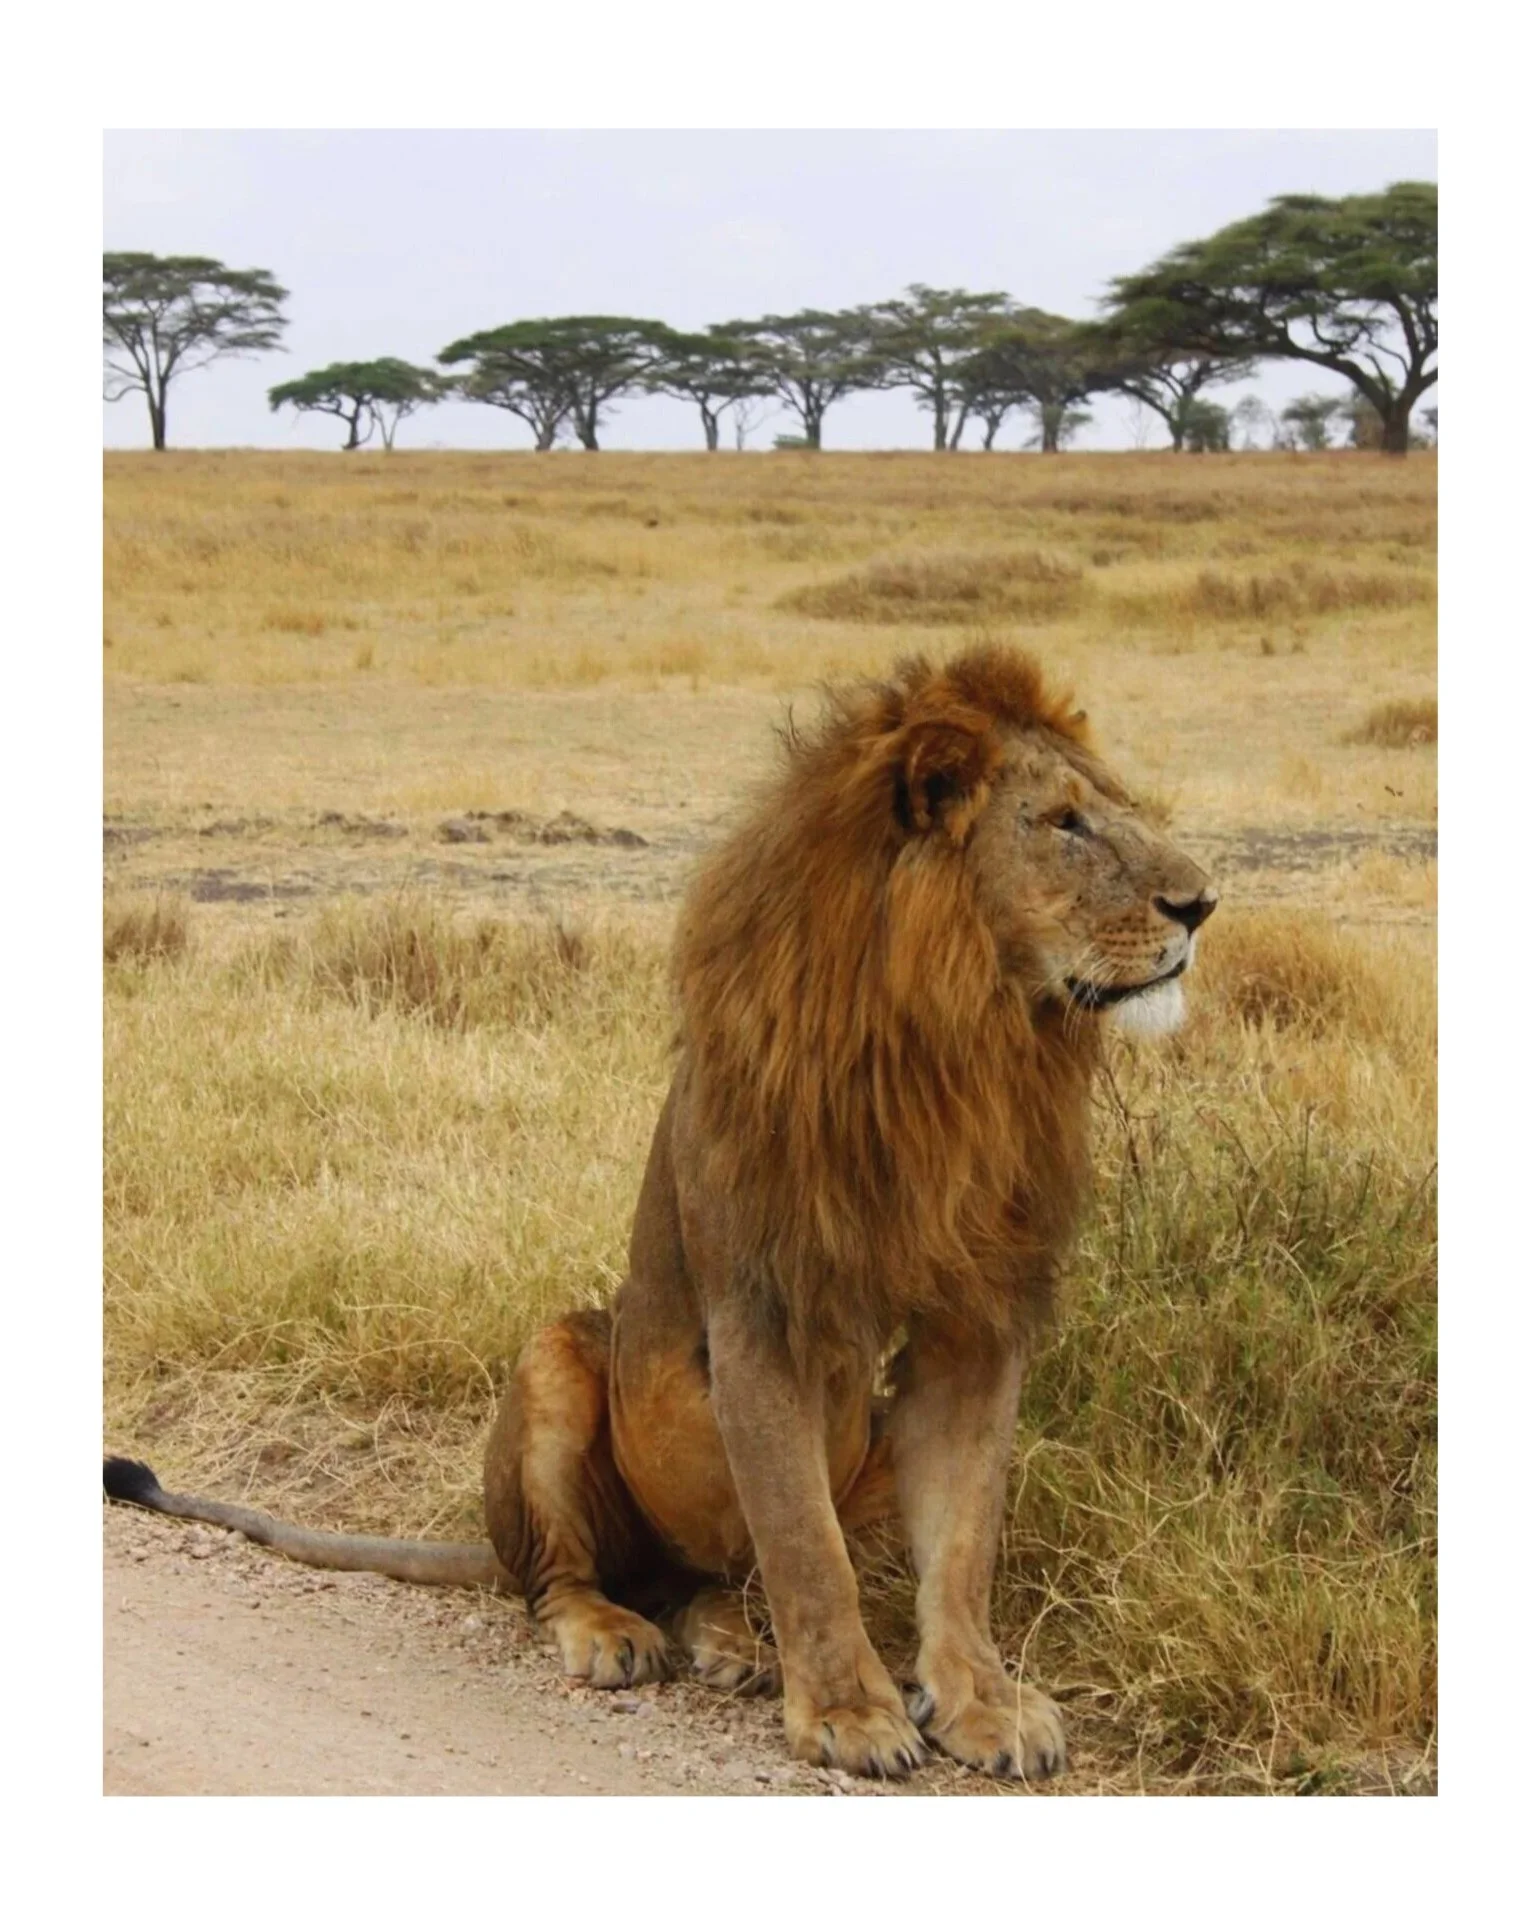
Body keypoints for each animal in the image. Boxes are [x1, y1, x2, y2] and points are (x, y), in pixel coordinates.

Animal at [106, 643, 1216, 1783]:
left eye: (1114, 810)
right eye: (1064, 822)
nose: (1201, 904)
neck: (958, 1043)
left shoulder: (978, 1315)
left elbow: (961, 1542)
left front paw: (981, 1703)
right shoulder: (762, 1310)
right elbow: (807, 1547)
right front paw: (850, 1712)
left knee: (722, 1577)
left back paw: (734, 1643)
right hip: (558, 1362)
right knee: (568, 1578)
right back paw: (620, 1633)